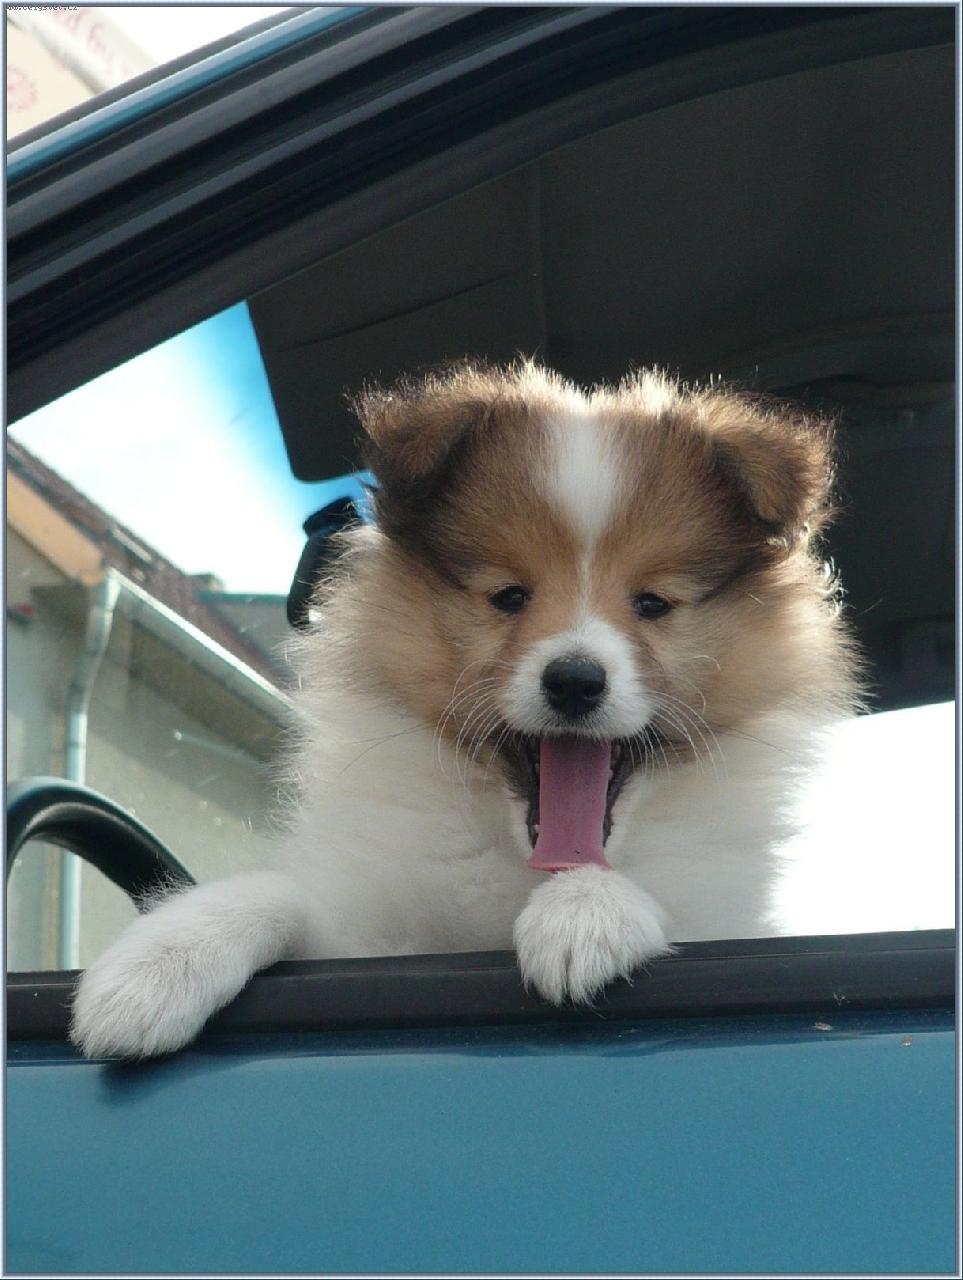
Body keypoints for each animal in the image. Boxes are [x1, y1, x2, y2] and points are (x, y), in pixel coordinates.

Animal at [71, 361, 859, 1058]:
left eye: (653, 604)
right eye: (508, 595)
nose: (575, 681)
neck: (523, 871)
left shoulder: (725, 915)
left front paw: (584, 916)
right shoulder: (366, 938)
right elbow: (277, 896)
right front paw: (153, 970)